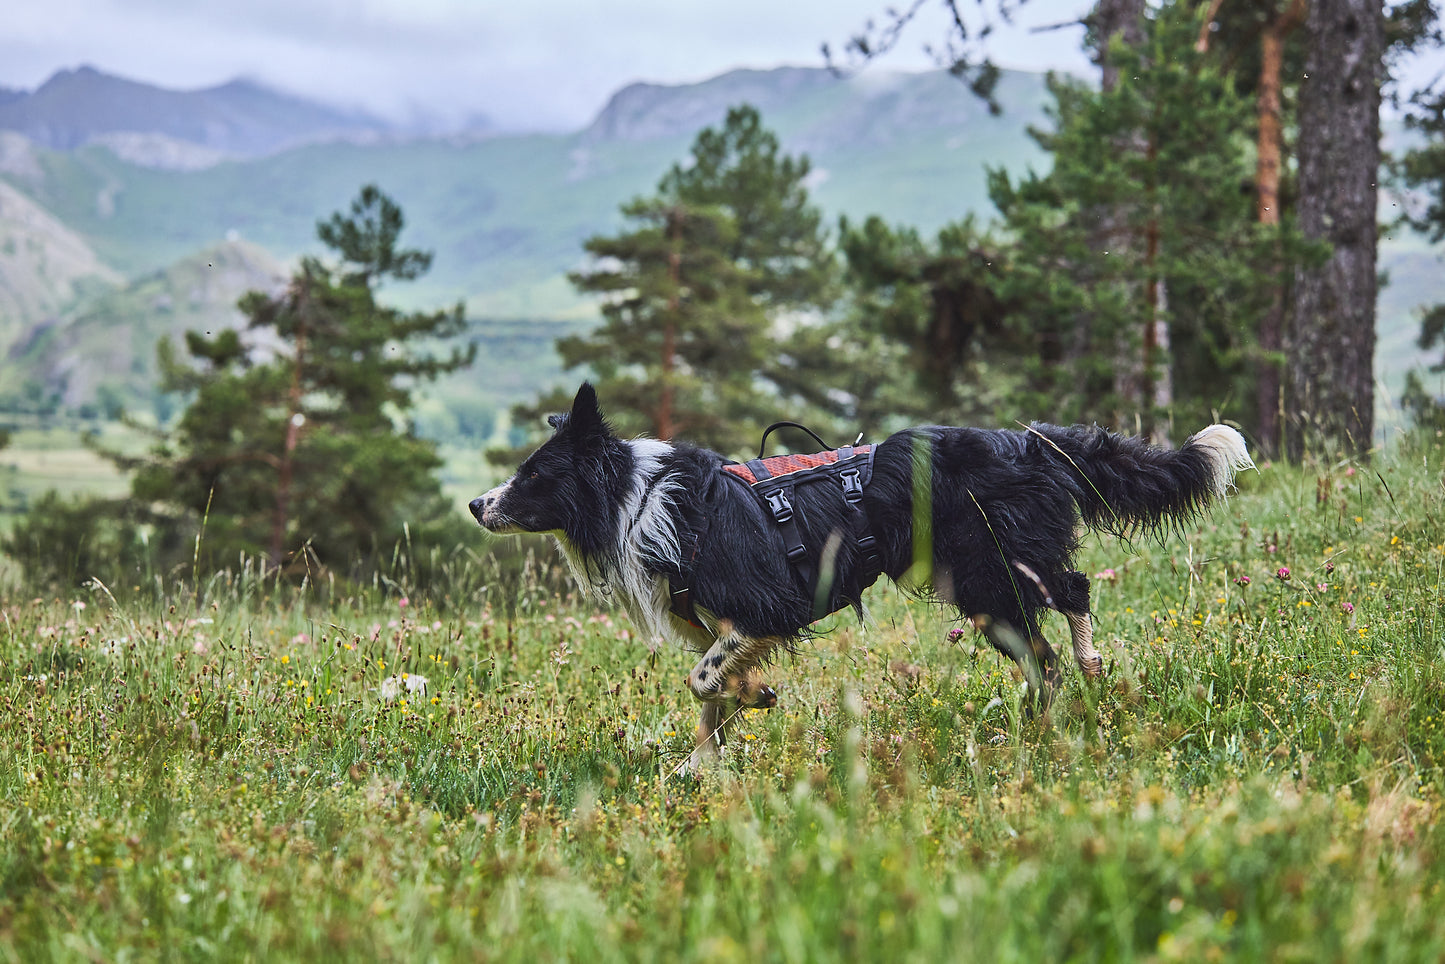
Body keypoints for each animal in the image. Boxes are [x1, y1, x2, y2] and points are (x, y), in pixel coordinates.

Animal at [473, 384, 1254, 768]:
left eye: (534, 474)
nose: (477, 504)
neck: (637, 499)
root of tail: (1030, 440)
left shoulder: (764, 606)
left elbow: (703, 681)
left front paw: (749, 701)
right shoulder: (721, 625)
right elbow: (709, 696)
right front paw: (700, 766)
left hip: (992, 567)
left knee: (1068, 602)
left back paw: (1078, 681)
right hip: (983, 585)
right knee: (1048, 639)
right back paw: (1045, 715)